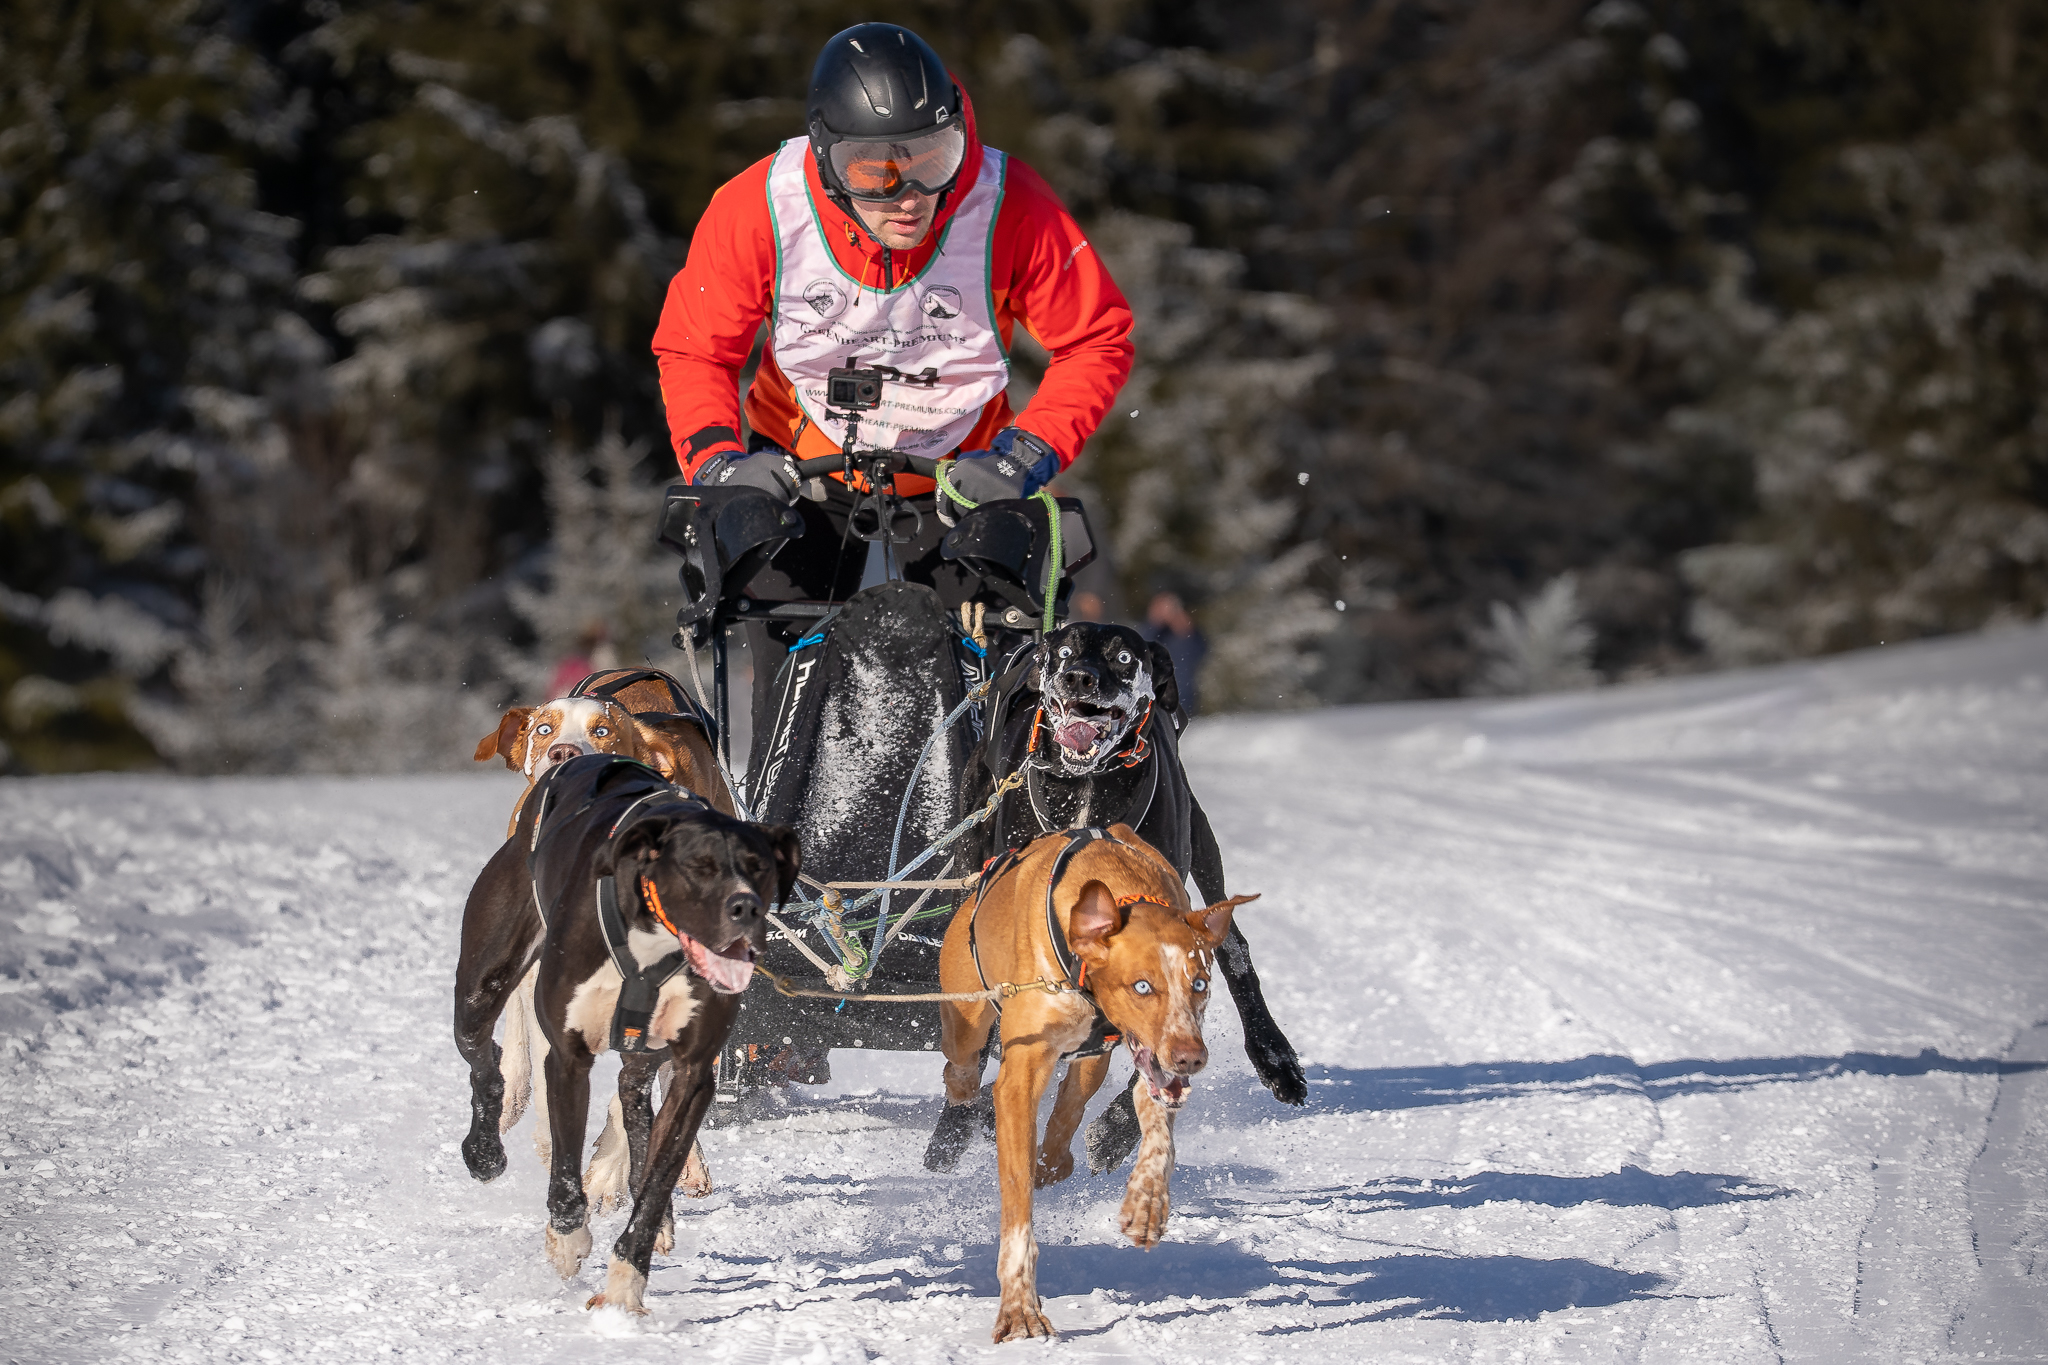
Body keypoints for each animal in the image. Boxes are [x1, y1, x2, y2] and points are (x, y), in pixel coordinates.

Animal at [454, 753, 798, 1313]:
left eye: (760, 867)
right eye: (699, 866)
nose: (745, 908)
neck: (654, 940)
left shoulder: (693, 1071)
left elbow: (658, 1178)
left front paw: (625, 1282)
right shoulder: (568, 1057)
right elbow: (565, 1167)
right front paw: (567, 1240)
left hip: (645, 1051)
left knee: (632, 1098)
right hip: (480, 989)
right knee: (485, 1064)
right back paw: (484, 1152)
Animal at [925, 824, 1252, 1342]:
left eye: (1200, 983)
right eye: (1143, 986)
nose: (1190, 1057)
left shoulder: (1133, 1057)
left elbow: (1149, 1128)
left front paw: (1146, 1201)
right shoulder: (1021, 1074)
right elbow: (1017, 1204)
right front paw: (1020, 1308)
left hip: (1097, 1056)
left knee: (1069, 1110)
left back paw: (1053, 1159)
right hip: (965, 1019)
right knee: (960, 1074)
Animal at [965, 621, 1305, 1171]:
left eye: (1124, 657)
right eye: (1064, 652)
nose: (1079, 677)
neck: (1085, 787)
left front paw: (1116, 1130)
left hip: (1203, 845)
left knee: (1234, 948)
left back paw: (1274, 1055)